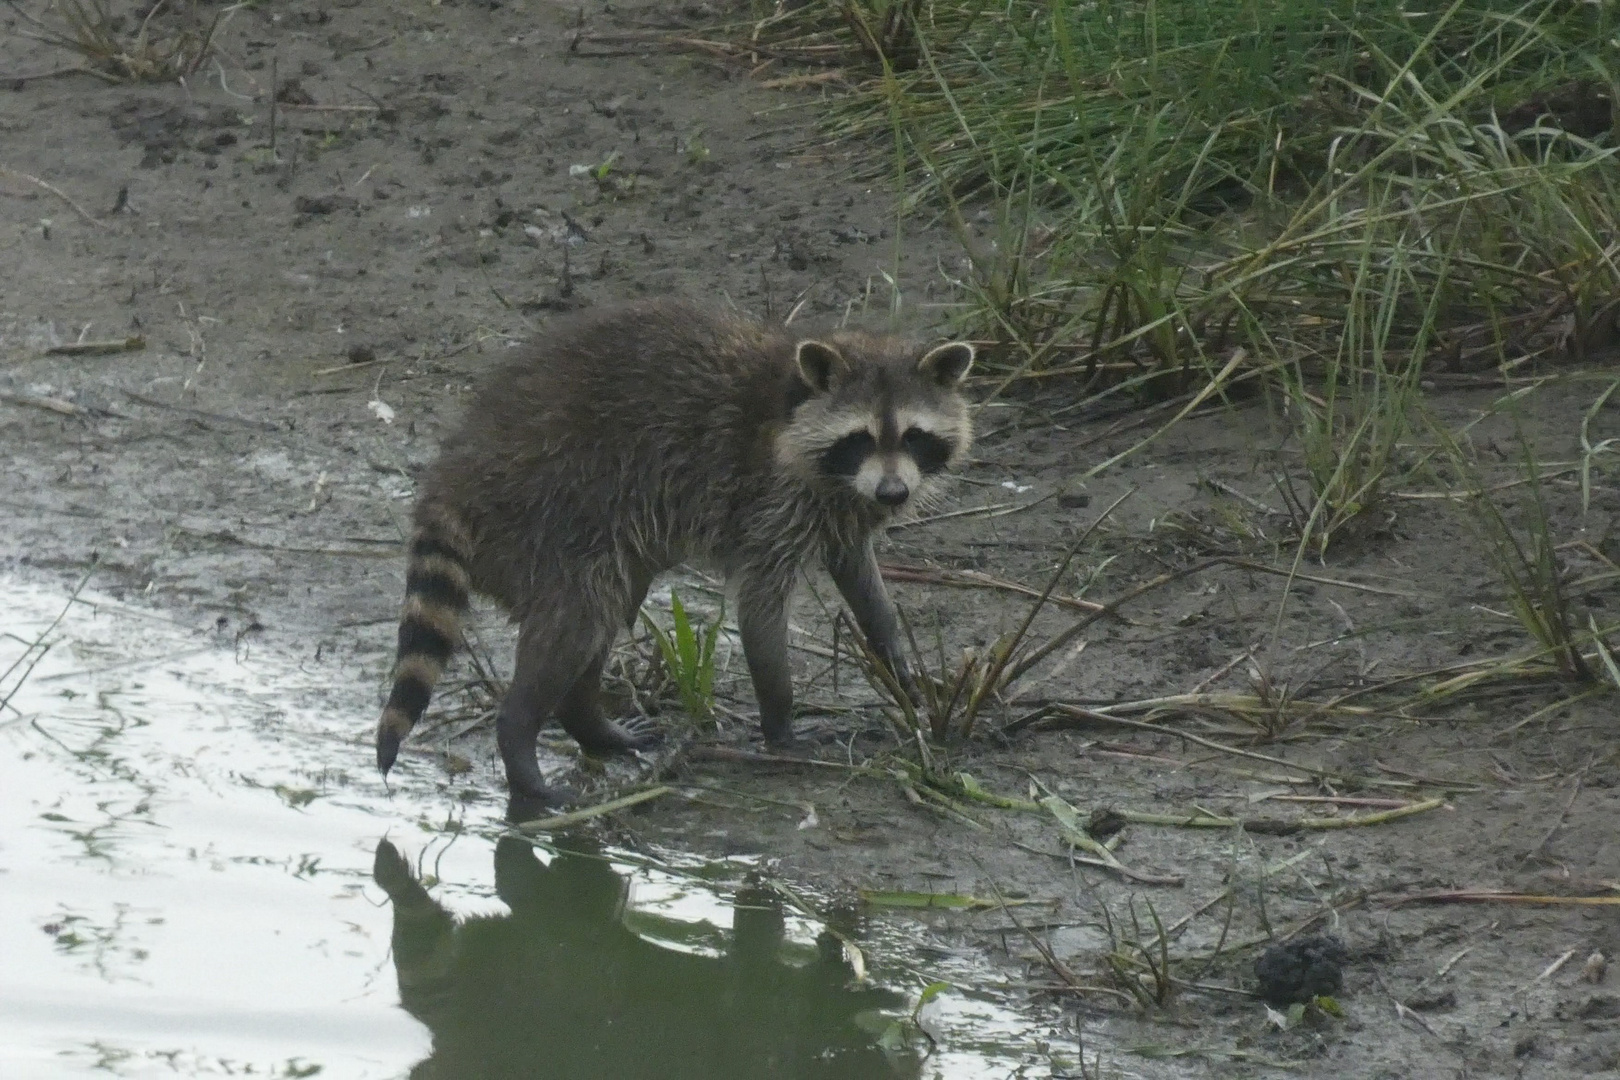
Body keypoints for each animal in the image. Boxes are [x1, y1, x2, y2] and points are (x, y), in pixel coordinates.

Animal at [375, 296, 972, 803]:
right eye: (861, 438)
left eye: (914, 436)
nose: (893, 493)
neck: (790, 400)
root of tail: (454, 472)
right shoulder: (768, 503)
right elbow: (759, 611)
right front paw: (780, 722)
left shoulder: (840, 510)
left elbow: (858, 573)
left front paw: (896, 659)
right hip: (545, 512)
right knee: (578, 618)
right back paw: (521, 744)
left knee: (609, 604)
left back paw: (584, 718)